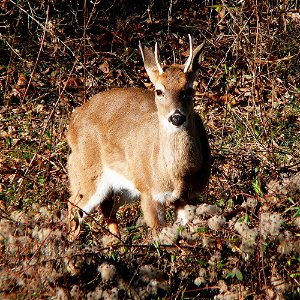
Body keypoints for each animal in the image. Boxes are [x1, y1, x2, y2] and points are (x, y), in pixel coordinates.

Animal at [67, 35, 211, 241]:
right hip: (87, 171)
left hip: (125, 186)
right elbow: (160, 236)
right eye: (159, 91)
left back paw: (118, 242)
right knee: (73, 204)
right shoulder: (149, 192)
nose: (176, 117)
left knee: (107, 207)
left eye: (189, 90)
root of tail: (73, 120)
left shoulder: (188, 197)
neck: (177, 176)